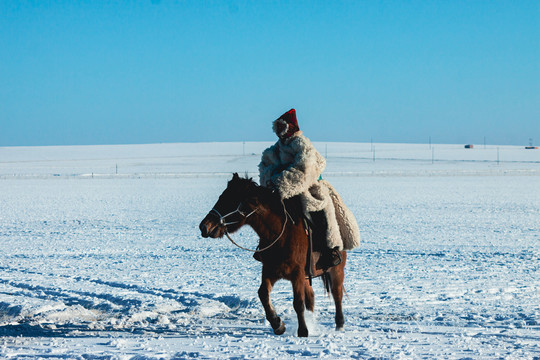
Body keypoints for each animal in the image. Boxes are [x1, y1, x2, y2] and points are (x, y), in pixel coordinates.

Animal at [198, 173, 346, 336]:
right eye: (221, 197)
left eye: (231, 201)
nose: (204, 226)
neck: (281, 235)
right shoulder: (271, 270)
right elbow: (263, 293)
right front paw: (278, 324)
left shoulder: (297, 273)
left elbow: (298, 303)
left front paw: (303, 331)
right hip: (308, 275)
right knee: (311, 296)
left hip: (336, 270)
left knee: (337, 294)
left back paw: (339, 325)